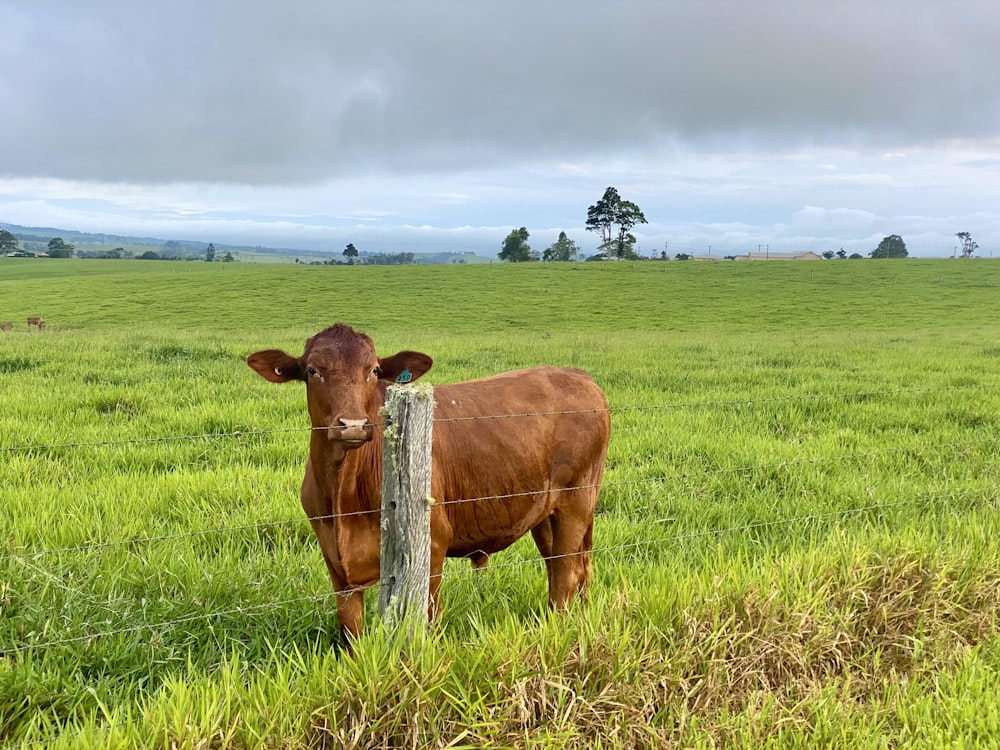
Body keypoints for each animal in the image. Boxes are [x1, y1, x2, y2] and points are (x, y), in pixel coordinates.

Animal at [250, 326, 608, 644]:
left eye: (374, 370)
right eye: (312, 370)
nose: (353, 424)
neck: (344, 498)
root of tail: (580, 376)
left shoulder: (432, 546)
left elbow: (427, 619)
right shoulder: (335, 563)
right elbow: (351, 634)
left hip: (576, 500)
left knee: (567, 574)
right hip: (545, 511)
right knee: (564, 569)